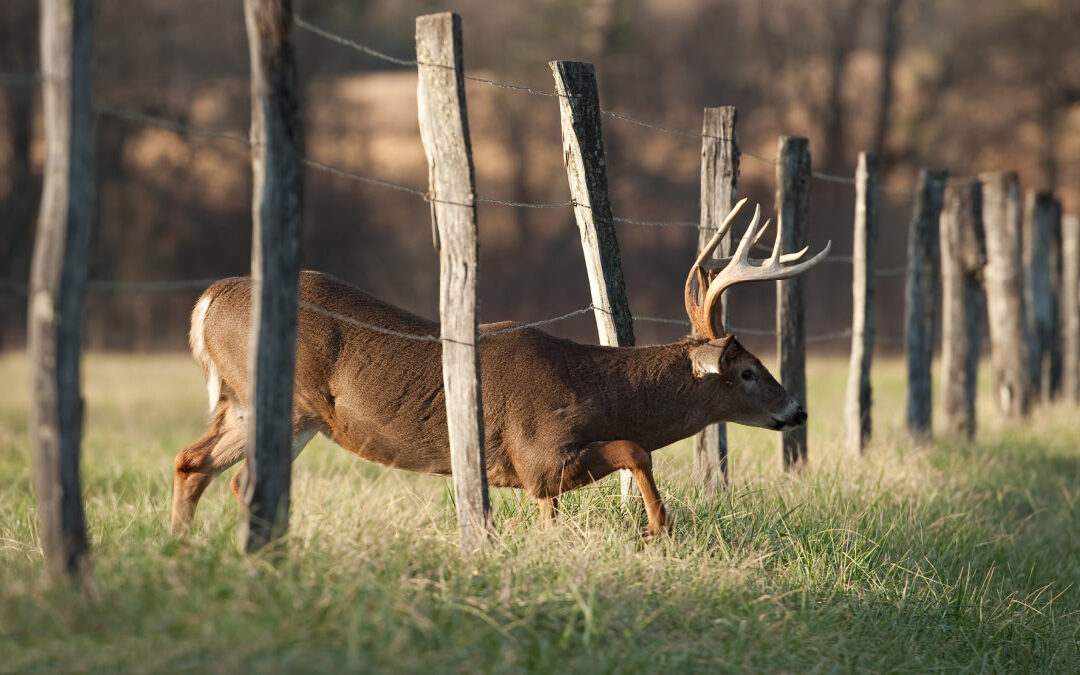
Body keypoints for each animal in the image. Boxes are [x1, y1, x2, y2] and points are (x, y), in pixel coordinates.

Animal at [170, 197, 825, 533]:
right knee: (239, 478)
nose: (797, 409)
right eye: (747, 371)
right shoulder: (538, 451)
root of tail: (207, 301)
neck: (591, 388)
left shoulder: (539, 475)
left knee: (193, 463)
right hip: (285, 400)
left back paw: (184, 550)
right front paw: (659, 526)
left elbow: (558, 510)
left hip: (249, 403)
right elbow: (634, 448)